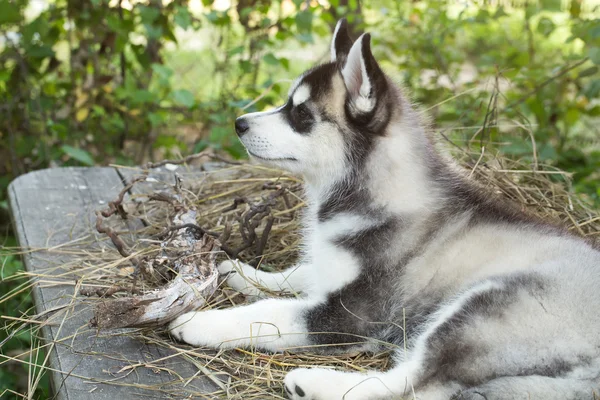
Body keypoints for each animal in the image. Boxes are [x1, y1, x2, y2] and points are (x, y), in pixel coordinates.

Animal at [169, 18, 600, 400]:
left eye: (301, 114)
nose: (239, 123)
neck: (376, 194)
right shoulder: (332, 268)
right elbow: (299, 273)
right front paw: (244, 272)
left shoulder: (349, 316)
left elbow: (270, 313)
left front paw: (201, 321)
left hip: (483, 312)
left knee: (414, 386)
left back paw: (315, 383)